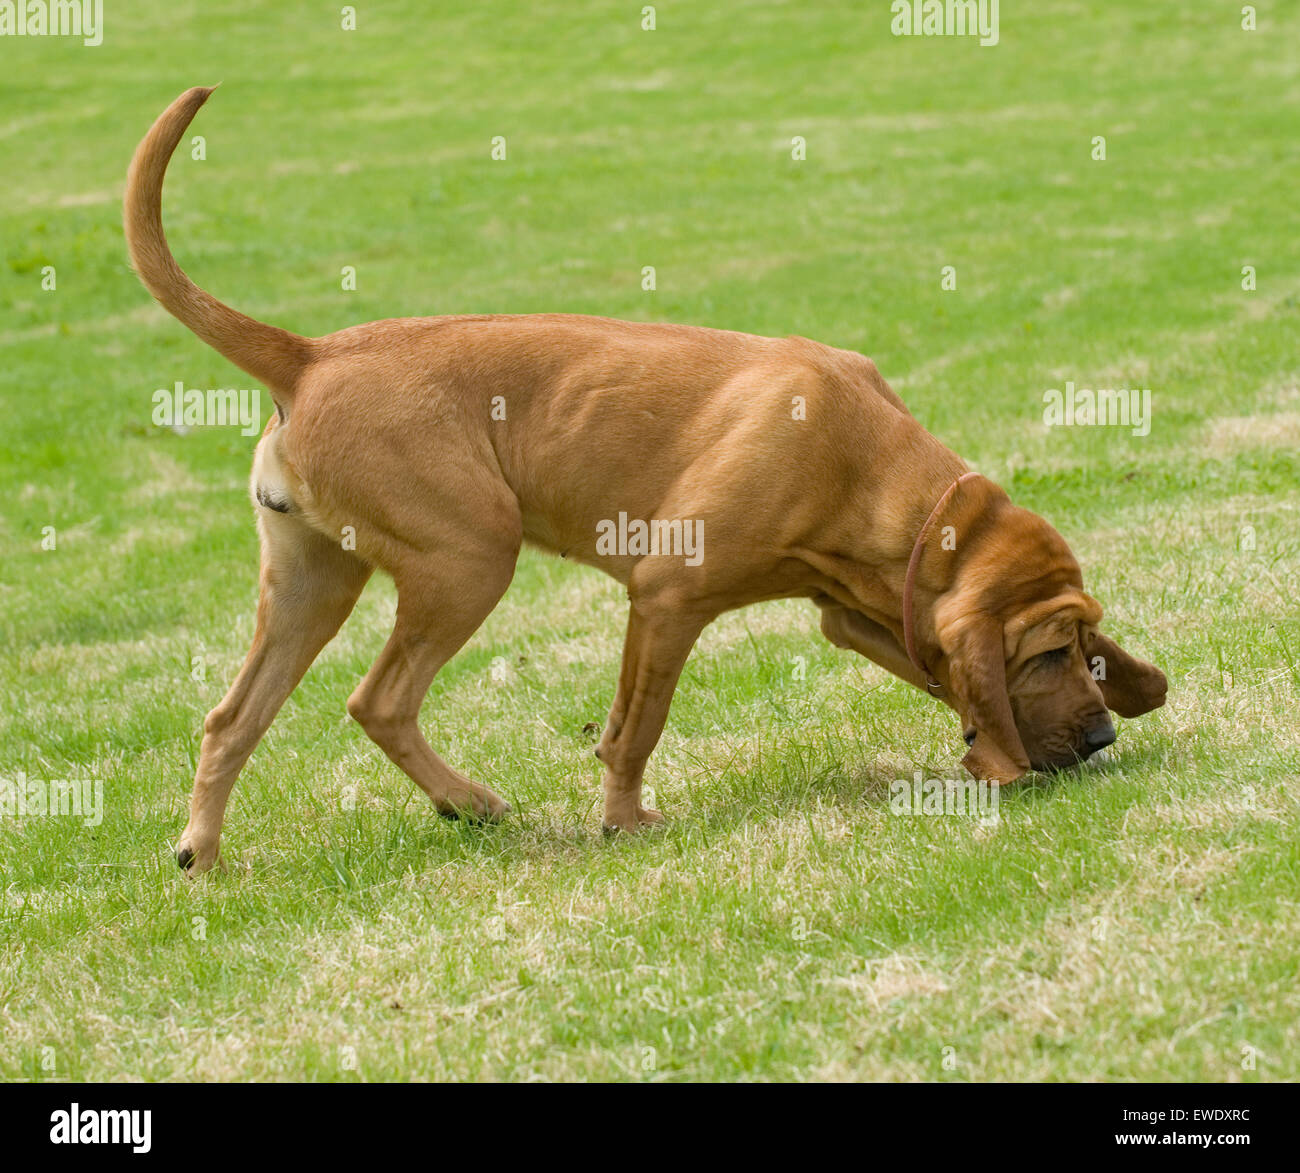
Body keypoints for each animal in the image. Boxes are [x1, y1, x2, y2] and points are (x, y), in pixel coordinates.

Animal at [126, 89, 1175, 873]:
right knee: (377, 700)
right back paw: (472, 804)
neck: (874, 472)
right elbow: (637, 725)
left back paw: (202, 853)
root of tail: (309, 357)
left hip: (312, 581)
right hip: (469, 559)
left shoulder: (857, 611)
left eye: (1087, 648)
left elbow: (931, 673)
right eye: (1048, 651)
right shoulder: (668, 595)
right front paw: (625, 823)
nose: (1101, 743)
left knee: (229, 719)